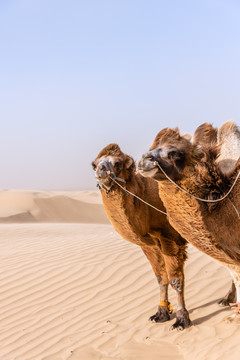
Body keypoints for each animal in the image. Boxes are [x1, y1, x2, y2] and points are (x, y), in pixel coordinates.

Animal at [92, 143, 191, 330]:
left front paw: (182, 319)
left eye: (117, 163)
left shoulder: (170, 237)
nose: (101, 170)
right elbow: (160, 278)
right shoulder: (149, 244)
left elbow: (175, 280)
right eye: (93, 164)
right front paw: (161, 313)